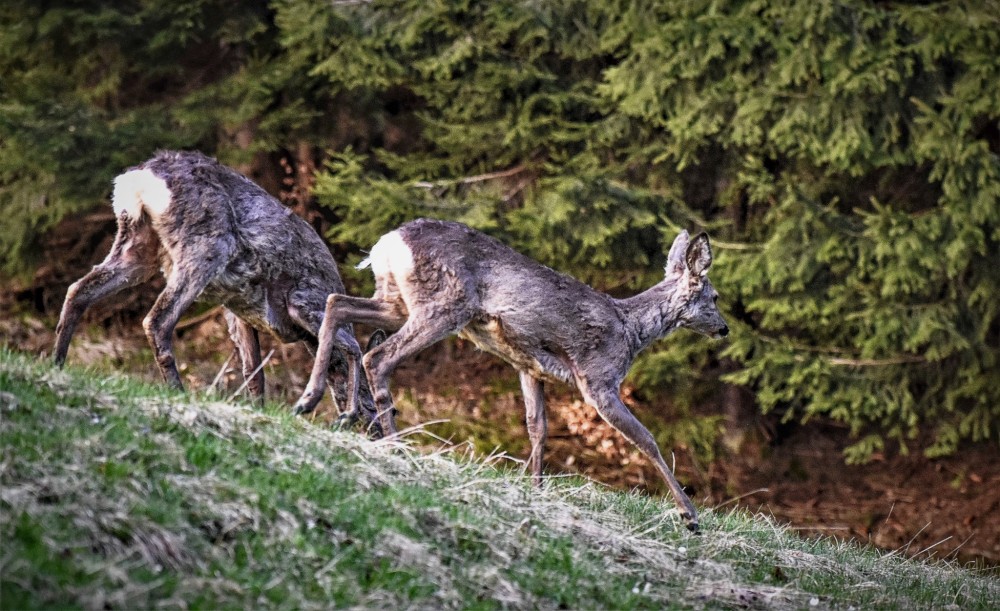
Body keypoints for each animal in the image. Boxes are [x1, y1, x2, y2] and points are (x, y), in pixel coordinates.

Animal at [56, 151, 380, 432]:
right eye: (380, 407)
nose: (379, 431)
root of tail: (141, 178)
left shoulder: (240, 312)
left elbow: (254, 373)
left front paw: (258, 412)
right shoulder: (304, 300)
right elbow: (351, 345)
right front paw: (336, 410)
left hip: (137, 246)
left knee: (77, 290)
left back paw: (56, 364)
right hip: (205, 246)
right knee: (157, 320)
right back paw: (177, 392)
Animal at [292, 220, 732, 532]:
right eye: (713, 297)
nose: (724, 329)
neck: (630, 330)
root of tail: (387, 242)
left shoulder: (528, 368)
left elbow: (537, 427)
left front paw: (535, 492)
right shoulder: (598, 379)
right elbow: (646, 439)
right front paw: (690, 516)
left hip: (396, 300)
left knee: (336, 304)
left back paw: (315, 402)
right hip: (443, 304)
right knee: (378, 355)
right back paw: (393, 444)